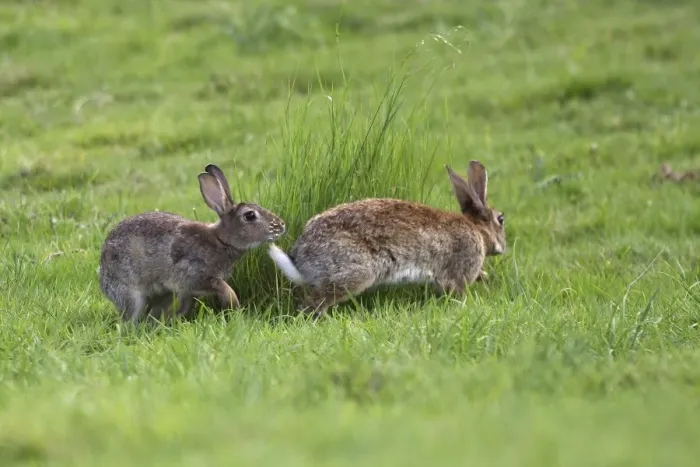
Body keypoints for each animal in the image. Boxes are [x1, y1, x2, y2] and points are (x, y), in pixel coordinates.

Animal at [98, 163, 286, 323]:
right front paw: (233, 302)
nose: (281, 225)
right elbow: (221, 286)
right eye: (250, 215)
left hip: (165, 295)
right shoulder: (193, 274)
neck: (221, 241)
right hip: (130, 292)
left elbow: (186, 306)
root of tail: (102, 274)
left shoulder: (189, 292)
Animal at [268, 160, 505, 318]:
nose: (503, 248)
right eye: (501, 219)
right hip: (354, 272)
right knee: (314, 303)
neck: (477, 230)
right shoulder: (460, 274)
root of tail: (300, 259)